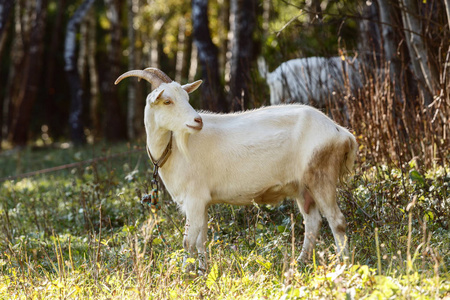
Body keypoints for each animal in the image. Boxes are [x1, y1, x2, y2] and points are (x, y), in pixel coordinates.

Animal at [116, 68, 358, 272]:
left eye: (186, 98)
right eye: (167, 101)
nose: (197, 121)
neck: (173, 148)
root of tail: (340, 132)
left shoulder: (194, 199)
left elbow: (188, 241)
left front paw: (184, 275)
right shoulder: (203, 202)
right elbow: (201, 238)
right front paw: (203, 271)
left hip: (321, 176)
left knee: (337, 220)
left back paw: (344, 264)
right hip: (302, 187)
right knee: (312, 222)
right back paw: (299, 263)